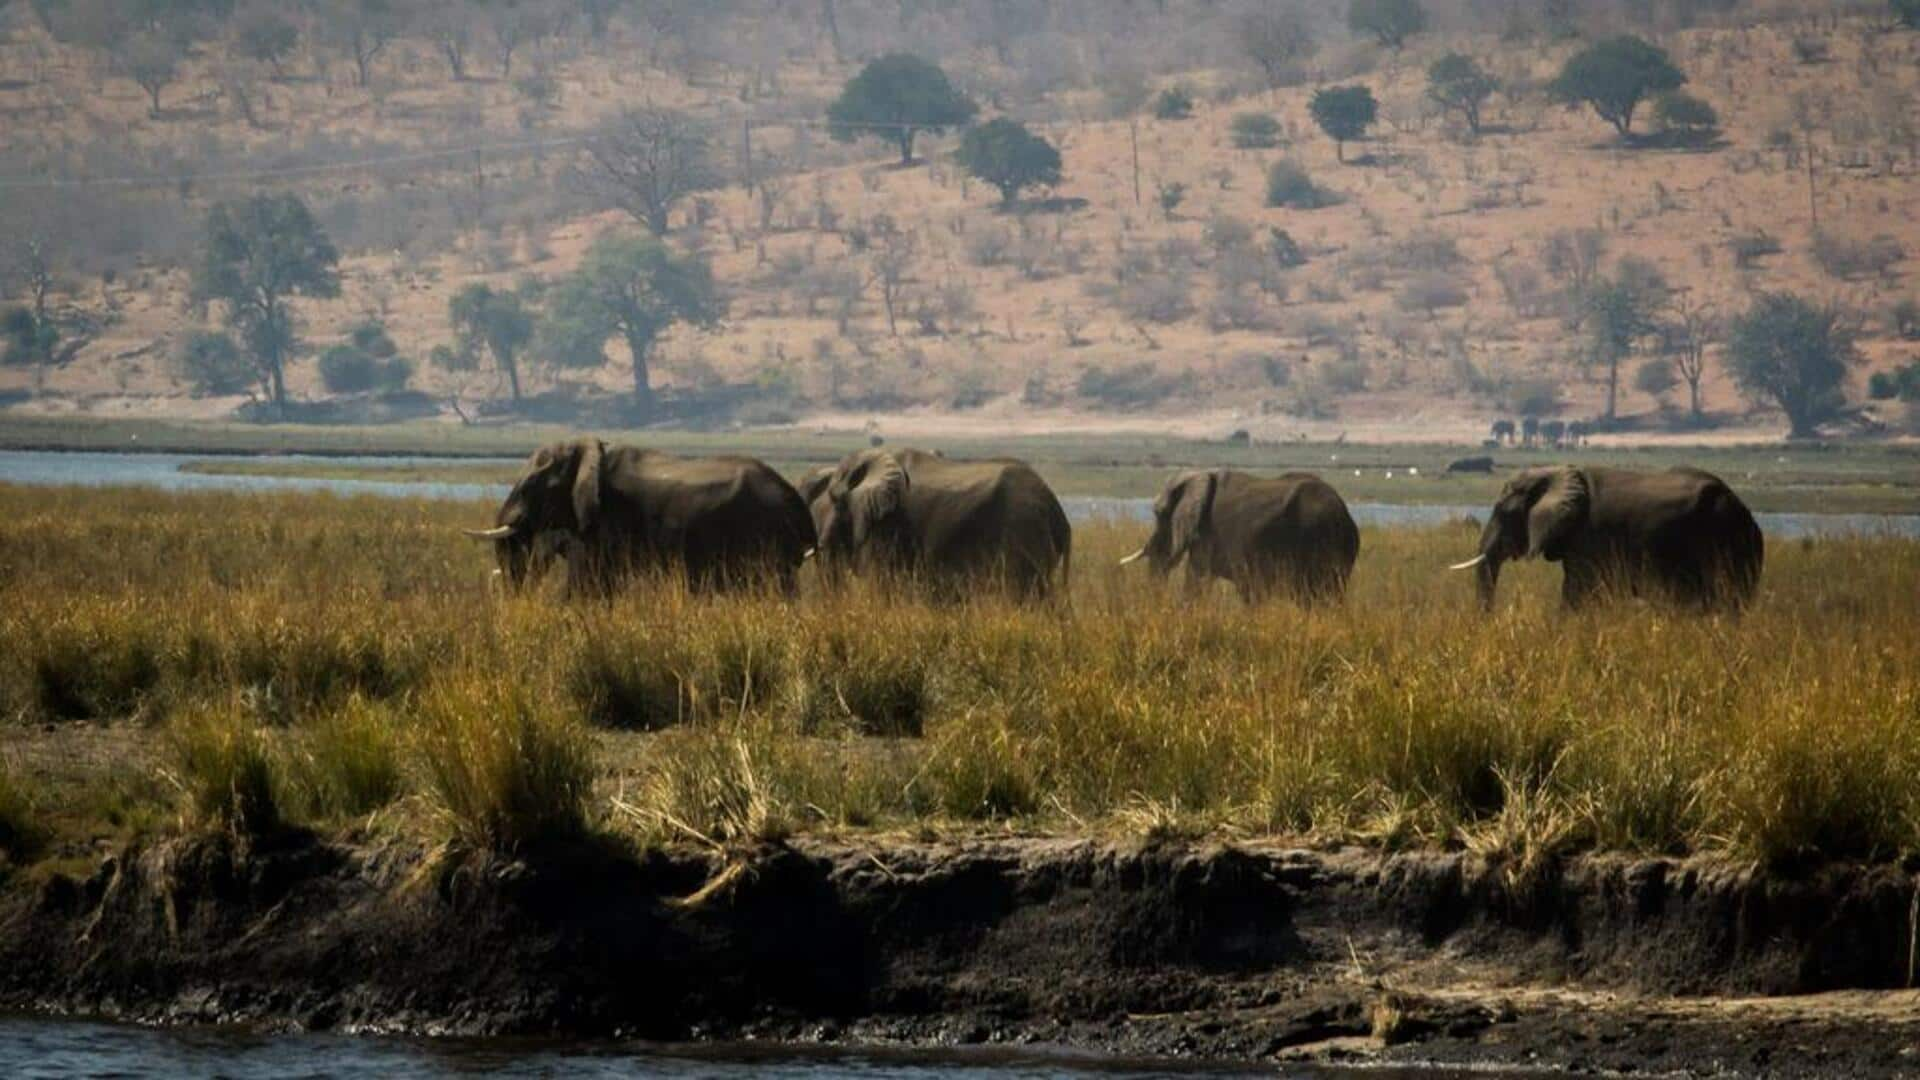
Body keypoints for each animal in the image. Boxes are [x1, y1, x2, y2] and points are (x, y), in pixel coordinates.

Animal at [476, 441, 821, 599]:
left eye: (530, 486)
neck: (588, 450)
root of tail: (797, 501)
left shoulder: (607, 520)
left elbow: (589, 583)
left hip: (766, 537)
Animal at [1443, 465, 1758, 614]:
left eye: (1503, 512)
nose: (1489, 620)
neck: (1556, 472)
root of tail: (1741, 506)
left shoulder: (1589, 536)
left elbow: (1576, 591)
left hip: (1727, 537)